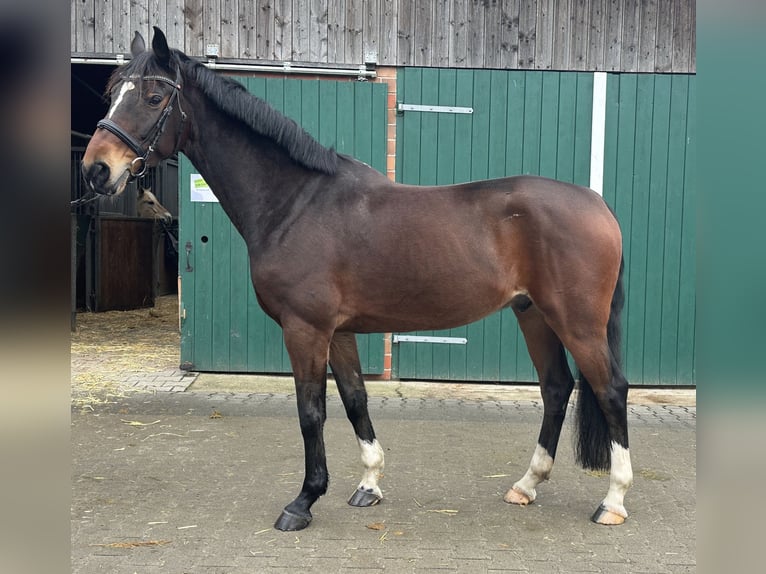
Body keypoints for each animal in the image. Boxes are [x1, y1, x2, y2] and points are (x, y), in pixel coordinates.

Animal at [82, 28, 636, 536]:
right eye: (112, 93)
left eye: (154, 98)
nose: (96, 170)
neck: (296, 203)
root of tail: (599, 205)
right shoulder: (339, 331)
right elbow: (354, 401)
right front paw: (368, 484)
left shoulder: (305, 329)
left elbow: (311, 411)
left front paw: (303, 501)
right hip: (533, 313)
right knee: (556, 387)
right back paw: (526, 485)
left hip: (576, 321)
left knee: (610, 389)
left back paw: (612, 501)